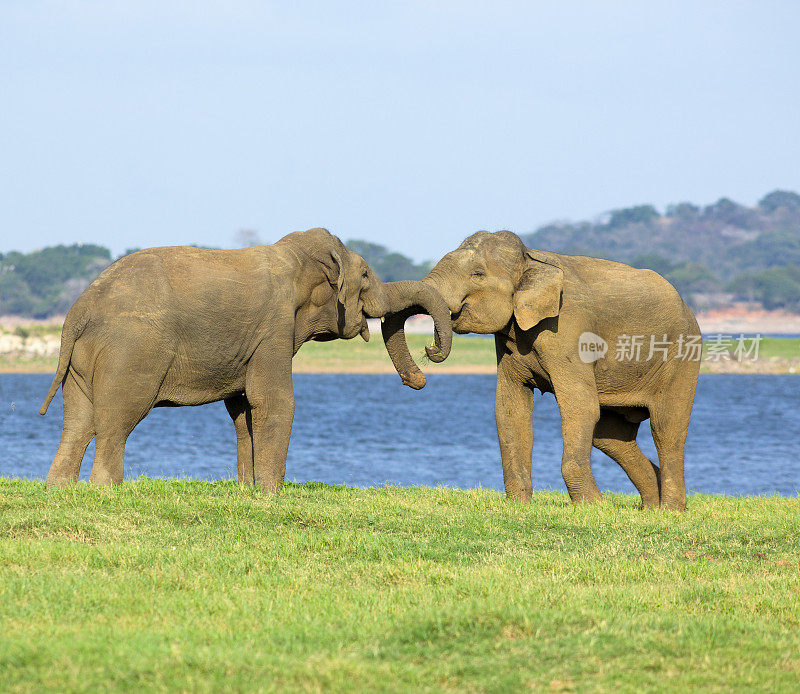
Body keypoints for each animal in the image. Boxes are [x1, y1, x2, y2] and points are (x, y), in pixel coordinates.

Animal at [39, 228, 450, 490]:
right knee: (116, 421)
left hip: (82, 359)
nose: (423, 368)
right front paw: (271, 495)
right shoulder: (274, 328)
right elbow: (275, 400)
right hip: (132, 352)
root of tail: (78, 310)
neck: (296, 256)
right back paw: (103, 490)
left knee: (78, 422)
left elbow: (243, 407)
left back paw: (60, 490)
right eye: (365, 275)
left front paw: (249, 491)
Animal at [378, 232, 696, 512]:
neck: (530, 258)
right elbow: (509, 408)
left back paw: (670, 511)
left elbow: (580, 406)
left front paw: (595, 507)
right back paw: (650, 508)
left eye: (478, 274)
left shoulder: (568, 328)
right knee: (610, 435)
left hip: (681, 358)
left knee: (666, 428)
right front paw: (520, 505)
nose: (417, 378)